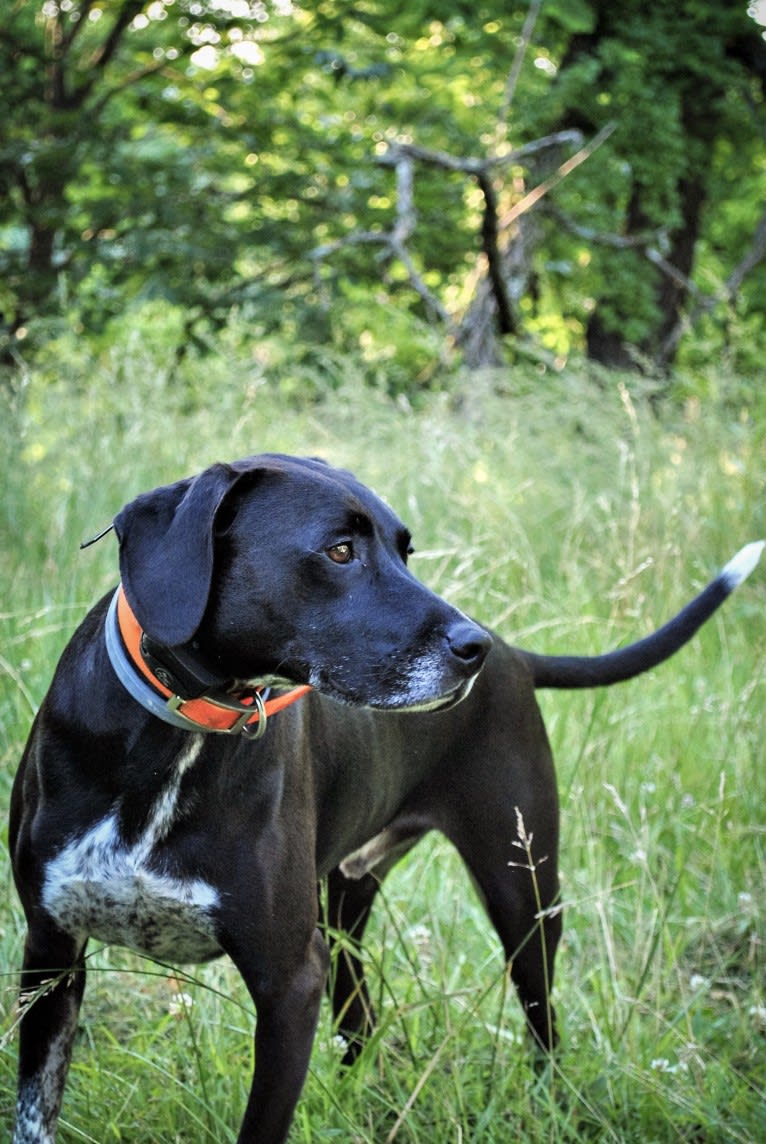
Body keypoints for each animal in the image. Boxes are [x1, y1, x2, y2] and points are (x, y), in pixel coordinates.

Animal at [9, 450, 763, 1139]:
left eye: (405, 550)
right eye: (339, 550)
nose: (473, 648)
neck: (181, 727)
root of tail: (518, 658)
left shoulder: (290, 981)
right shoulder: (50, 951)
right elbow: (35, 1112)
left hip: (522, 891)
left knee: (543, 1025)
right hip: (346, 903)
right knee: (364, 1022)